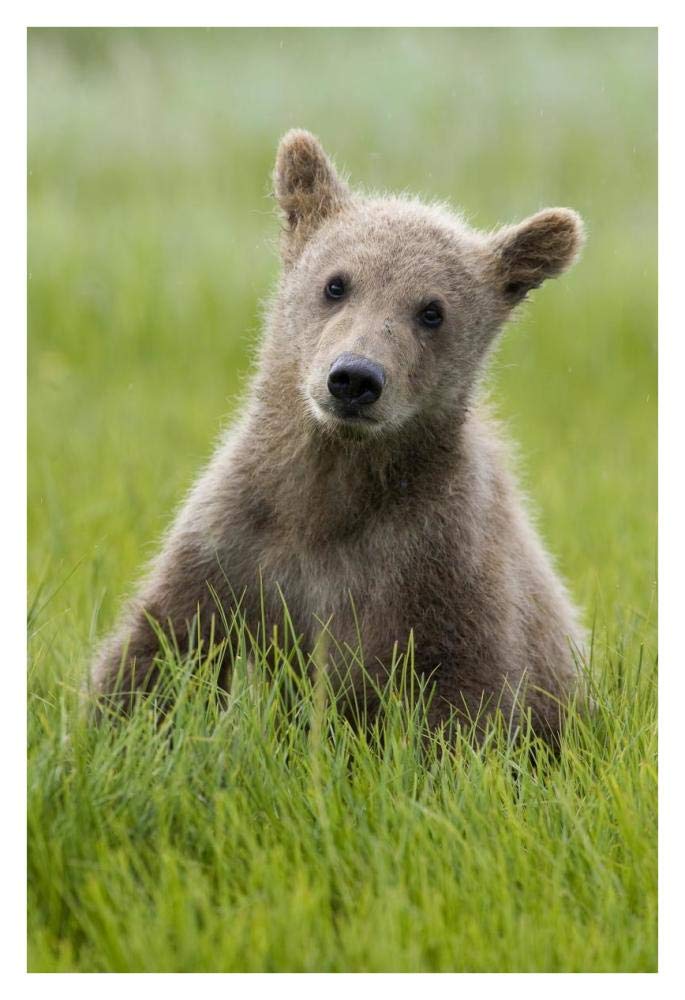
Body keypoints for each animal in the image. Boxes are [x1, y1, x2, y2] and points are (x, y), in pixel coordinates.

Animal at [91, 128, 586, 741]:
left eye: (432, 310)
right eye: (336, 284)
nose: (355, 378)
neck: (329, 493)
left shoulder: (443, 569)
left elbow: (465, 698)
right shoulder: (235, 545)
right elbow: (162, 648)